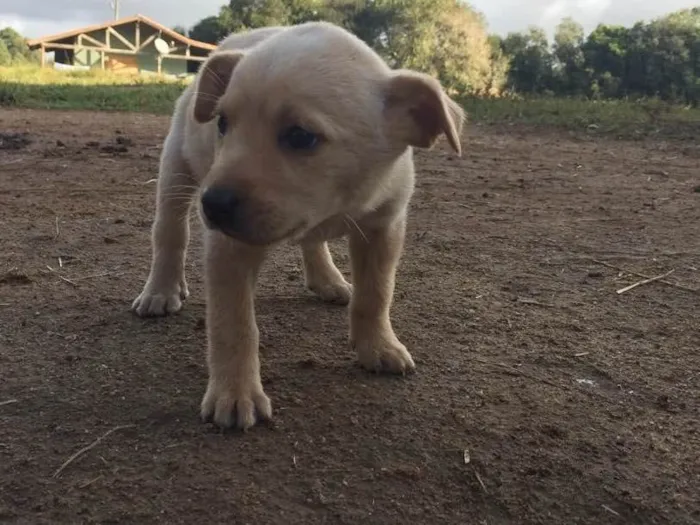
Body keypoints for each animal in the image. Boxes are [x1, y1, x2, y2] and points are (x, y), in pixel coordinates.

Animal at [133, 21, 464, 430]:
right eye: (223, 123)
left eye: (301, 136)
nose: (213, 203)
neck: (336, 204)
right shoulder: (229, 249)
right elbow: (234, 325)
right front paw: (235, 394)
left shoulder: (384, 227)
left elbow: (376, 293)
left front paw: (379, 346)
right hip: (176, 166)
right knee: (169, 233)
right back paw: (161, 290)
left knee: (313, 244)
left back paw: (328, 280)